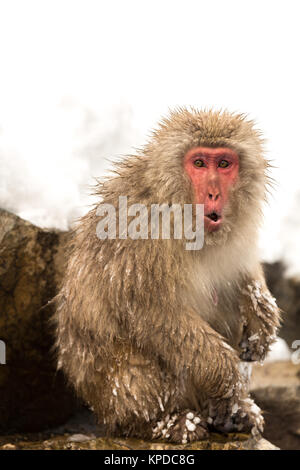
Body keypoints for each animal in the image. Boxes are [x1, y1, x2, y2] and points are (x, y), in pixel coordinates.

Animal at [54, 108, 282, 442]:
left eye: (223, 164)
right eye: (199, 163)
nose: (213, 193)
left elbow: (239, 272)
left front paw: (261, 316)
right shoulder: (142, 235)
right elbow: (154, 313)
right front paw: (227, 376)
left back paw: (230, 415)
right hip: (111, 391)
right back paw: (164, 422)